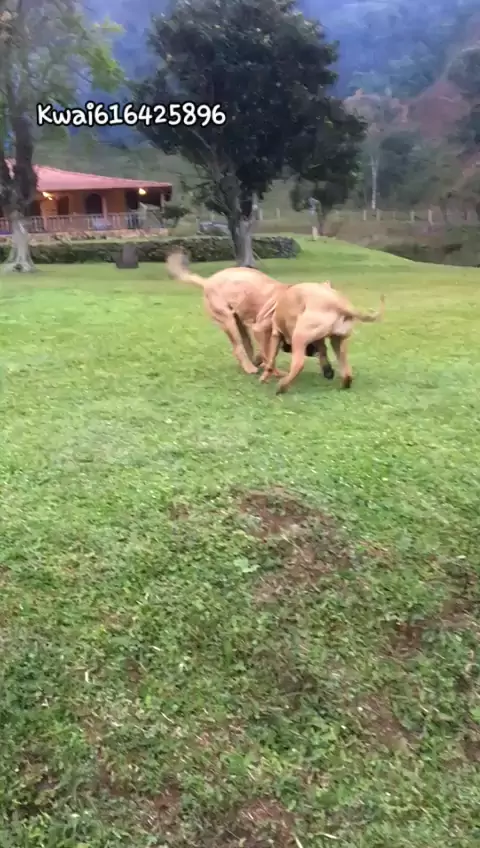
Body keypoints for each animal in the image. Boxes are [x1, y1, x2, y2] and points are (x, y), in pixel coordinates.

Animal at [255, 282, 384, 394]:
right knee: (347, 371)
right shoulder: (319, 339)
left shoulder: (276, 334)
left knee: (299, 364)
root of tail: (338, 304)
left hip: (299, 336)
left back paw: (282, 386)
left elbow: (271, 361)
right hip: (338, 340)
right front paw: (327, 370)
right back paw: (344, 383)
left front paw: (264, 377)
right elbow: (323, 351)